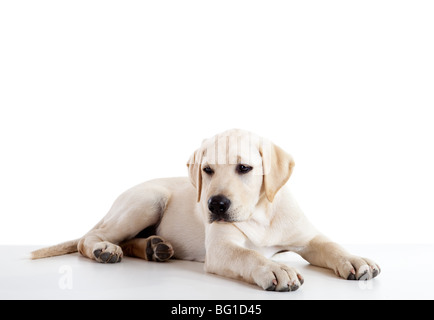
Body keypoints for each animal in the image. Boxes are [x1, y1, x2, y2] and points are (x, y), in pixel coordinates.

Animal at [31, 129, 380, 292]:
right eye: (207, 170)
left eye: (244, 168)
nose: (215, 204)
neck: (259, 213)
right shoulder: (222, 248)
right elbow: (249, 255)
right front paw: (275, 269)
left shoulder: (306, 237)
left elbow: (330, 245)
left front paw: (355, 259)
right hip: (147, 200)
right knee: (89, 238)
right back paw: (105, 249)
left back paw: (155, 247)